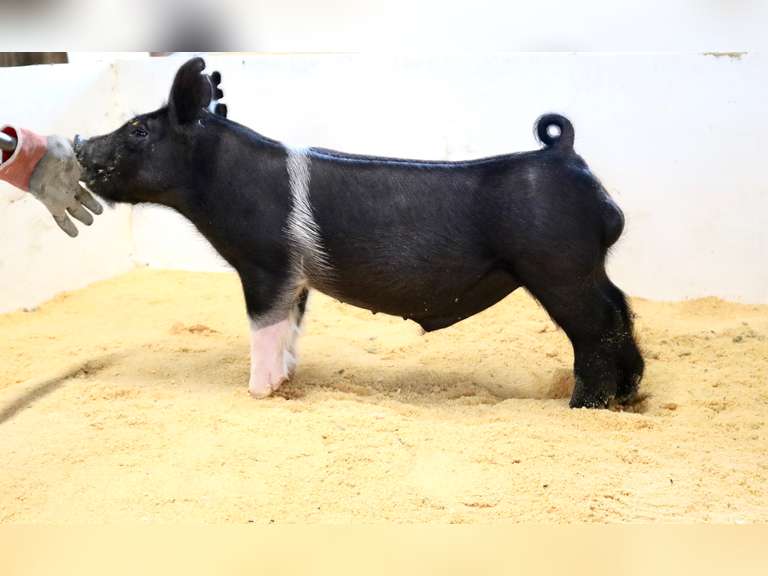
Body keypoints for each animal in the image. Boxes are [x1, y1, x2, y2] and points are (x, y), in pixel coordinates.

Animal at [74, 57, 643, 408]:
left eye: (138, 130)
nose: (79, 144)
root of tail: (564, 153)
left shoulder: (265, 264)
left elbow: (263, 328)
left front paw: (258, 393)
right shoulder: (295, 278)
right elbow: (290, 328)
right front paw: (287, 384)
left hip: (558, 266)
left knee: (597, 328)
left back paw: (583, 405)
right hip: (585, 266)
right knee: (621, 309)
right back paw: (629, 396)